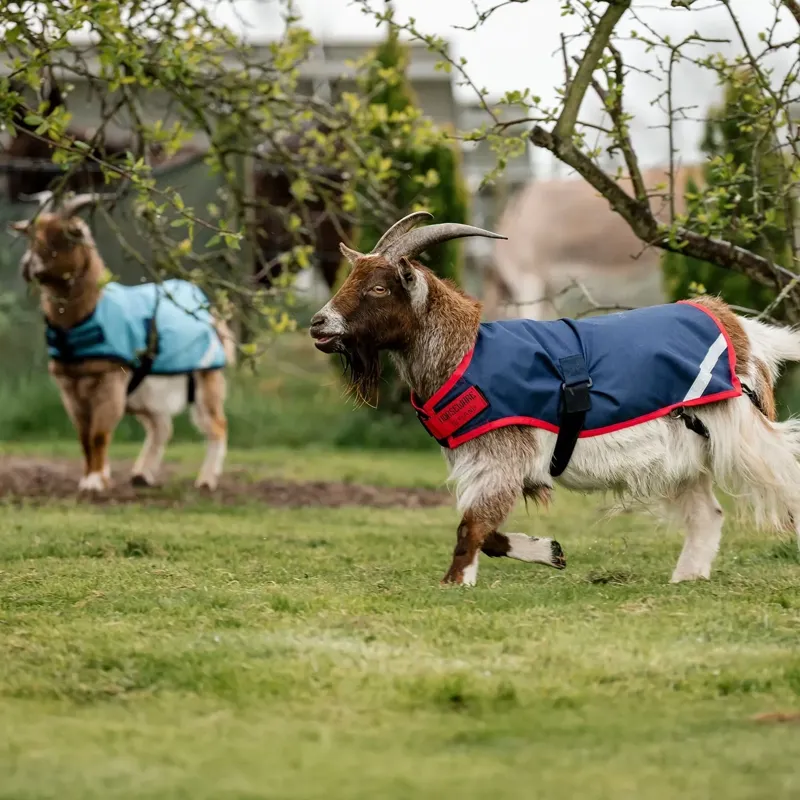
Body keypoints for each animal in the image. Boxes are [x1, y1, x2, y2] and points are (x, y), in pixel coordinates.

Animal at [10, 192, 236, 493]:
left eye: (65, 237)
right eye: (31, 237)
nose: (28, 267)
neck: (88, 313)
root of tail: (211, 314)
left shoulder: (109, 381)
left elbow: (98, 434)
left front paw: (95, 482)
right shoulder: (69, 387)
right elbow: (83, 436)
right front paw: (92, 477)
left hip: (206, 378)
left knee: (216, 426)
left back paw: (206, 480)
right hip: (146, 393)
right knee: (161, 426)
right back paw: (142, 475)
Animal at [309, 212, 800, 586]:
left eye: (378, 287)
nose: (318, 323)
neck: (463, 354)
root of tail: (740, 327)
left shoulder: (500, 455)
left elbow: (471, 528)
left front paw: (455, 583)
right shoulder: (486, 463)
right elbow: (486, 531)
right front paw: (551, 551)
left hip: (738, 428)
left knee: (782, 469)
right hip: (684, 453)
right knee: (707, 514)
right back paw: (685, 579)